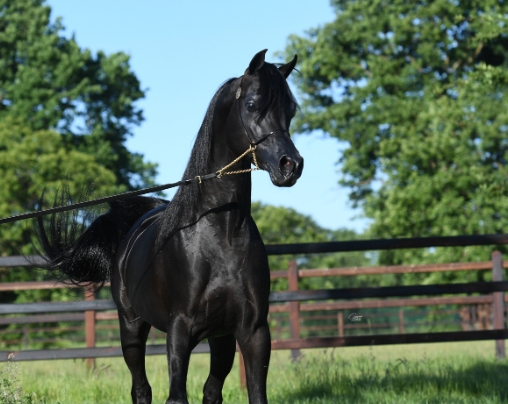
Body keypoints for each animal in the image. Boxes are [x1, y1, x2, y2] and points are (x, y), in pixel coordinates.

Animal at [38, 49, 306, 402]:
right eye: (251, 104)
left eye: (291, 109)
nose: (290, 166)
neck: (222, 238)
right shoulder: (180, 330)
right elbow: (176, 394)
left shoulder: (253, 332)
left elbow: (252, 394)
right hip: (131, 327)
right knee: (141, 388)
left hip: (220, 338)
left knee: (210, 390)